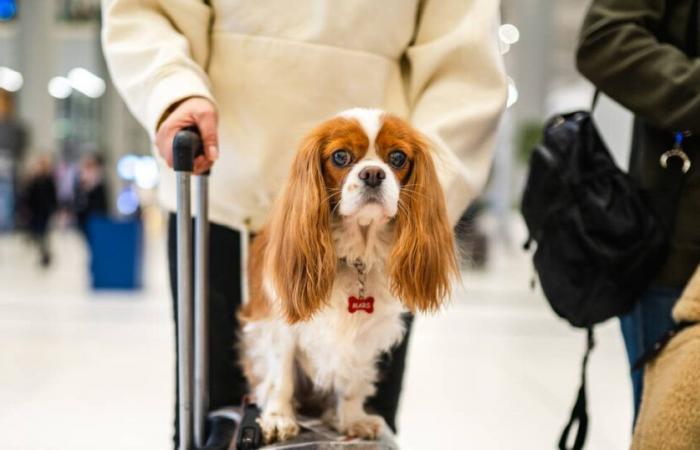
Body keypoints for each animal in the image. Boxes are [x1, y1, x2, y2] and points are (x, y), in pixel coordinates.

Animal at [239, 109, 460, 442]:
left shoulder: (365, 335)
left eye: (397, 157)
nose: (373, 174)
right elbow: (281, 377)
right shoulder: (279, 324)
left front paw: (352, 419)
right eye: (340, 156)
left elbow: (352, 380)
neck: (356, 255)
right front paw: (278, 418)